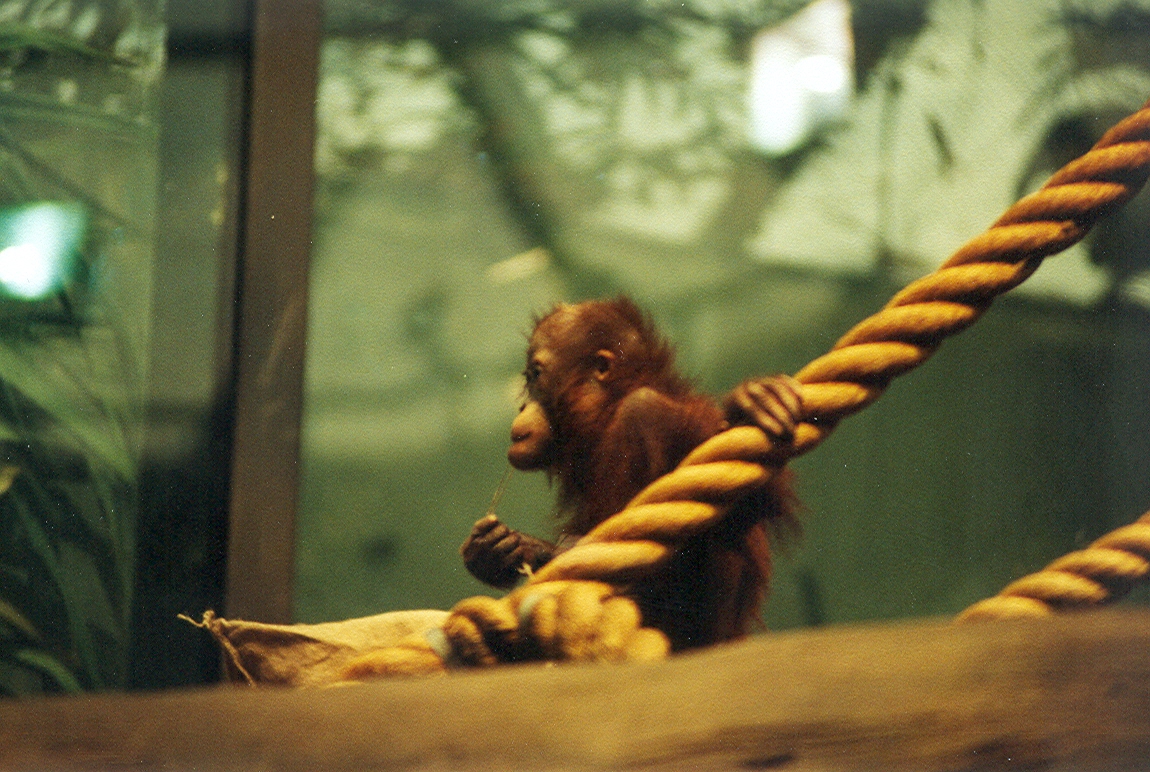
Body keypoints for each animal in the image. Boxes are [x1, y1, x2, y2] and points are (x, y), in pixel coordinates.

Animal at [461, 297, 802, 650]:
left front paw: (752, 401)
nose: (522, 407)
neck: (610, 411)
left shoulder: (653, 415)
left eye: (535, 375)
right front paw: (498, 549)